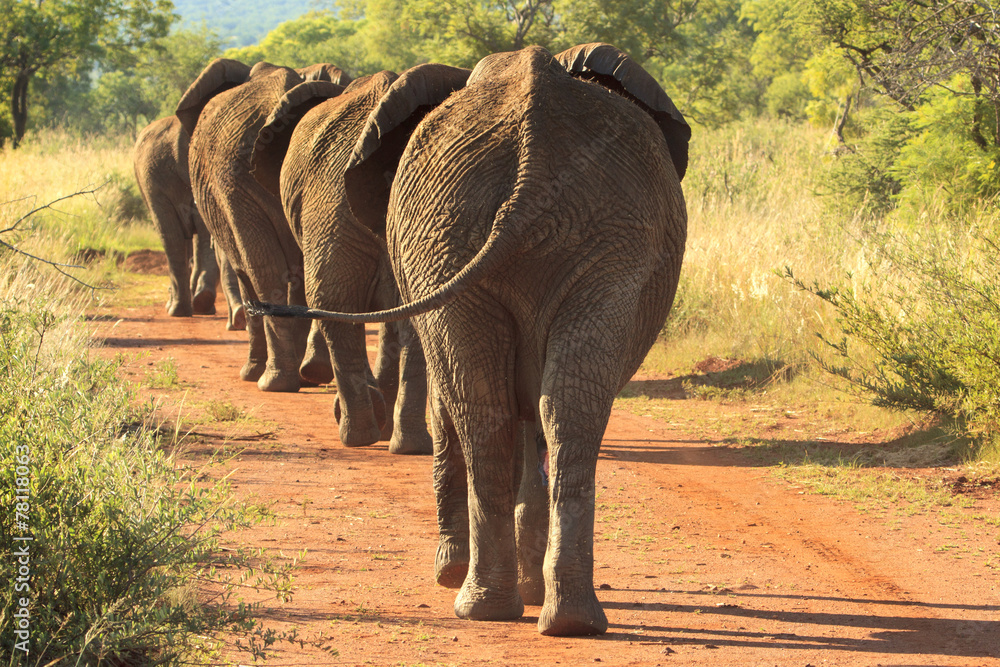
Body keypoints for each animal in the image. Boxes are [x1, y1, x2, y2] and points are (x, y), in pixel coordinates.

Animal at [176, 59, 351, 391]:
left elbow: (247, 273)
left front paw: (250, 373)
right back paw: (312, 371)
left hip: (236, 181)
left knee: (264, 271)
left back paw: (274, 381)